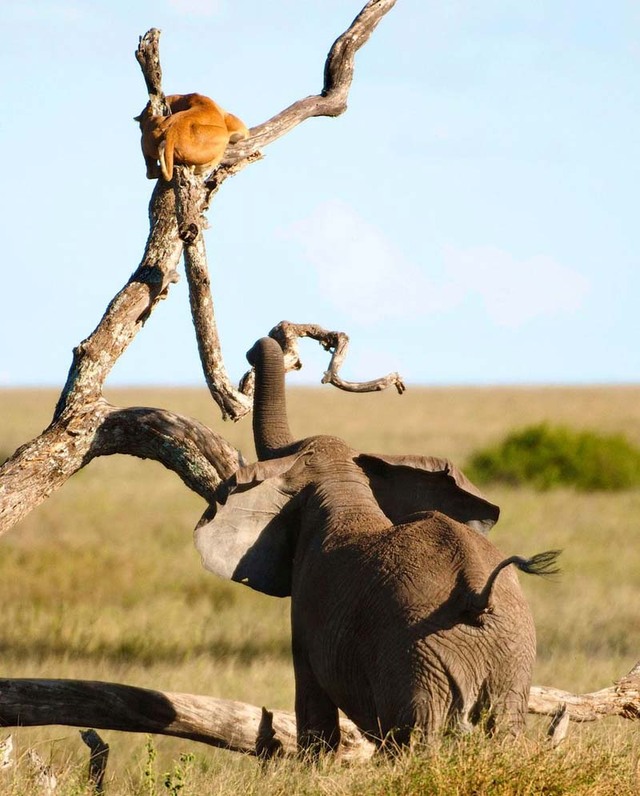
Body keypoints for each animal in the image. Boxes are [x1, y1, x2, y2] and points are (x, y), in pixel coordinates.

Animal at [196, 336, 560, 752]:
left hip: (415, 660)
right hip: (510, 657)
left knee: (417, 739)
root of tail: (476, 595)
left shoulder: (305, 615)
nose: (256, 348)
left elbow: (313, 708)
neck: (345, 489)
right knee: (505, 728)